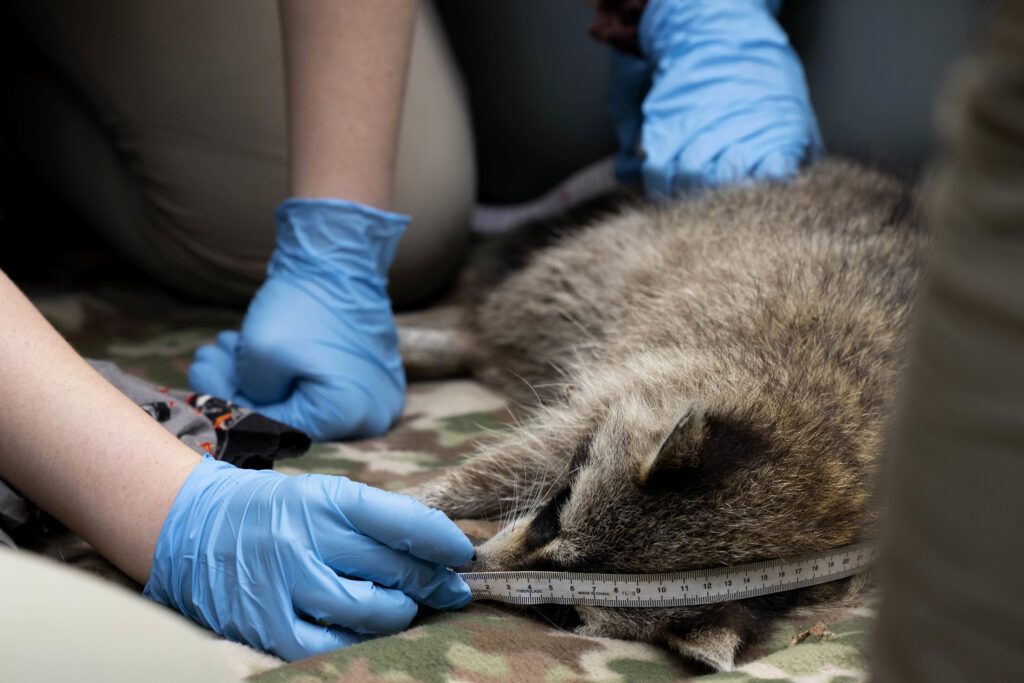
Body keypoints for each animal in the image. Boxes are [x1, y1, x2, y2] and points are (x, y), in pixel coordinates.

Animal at [401, 161, 929, 671]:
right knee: (527, 310)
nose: (471, 565)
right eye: (551, 520)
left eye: (559, 610)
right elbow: (526, 455)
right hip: (629, 254)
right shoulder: (659, 372)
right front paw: (424, 497)